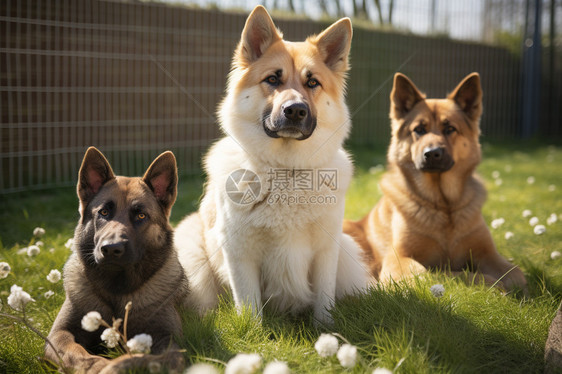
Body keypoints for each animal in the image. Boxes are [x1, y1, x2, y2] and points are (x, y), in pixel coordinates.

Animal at [46, 148, 186, 372]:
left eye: (140, 215)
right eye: (103, 212)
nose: (111, 248)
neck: (116, 288)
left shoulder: (169, 343)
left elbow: (135, 358)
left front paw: (111, 367)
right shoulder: (60, 334)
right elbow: (79, 355)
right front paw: (96, 365)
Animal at [342, 71, 524, 290]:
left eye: (450, 128)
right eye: (419, 129)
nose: (432, 154)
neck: (443, 206)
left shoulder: (489, 254)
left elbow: (517, 275)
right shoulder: (398, 258)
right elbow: (435, 273)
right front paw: (489, 283)